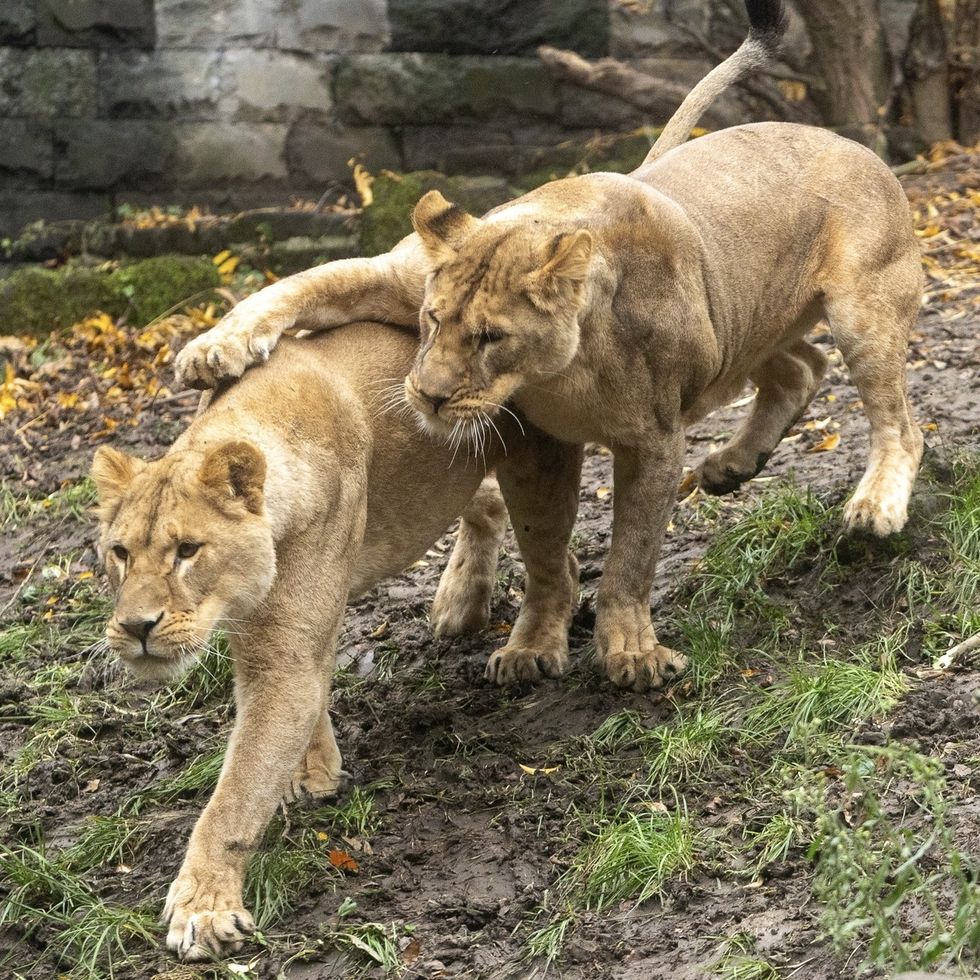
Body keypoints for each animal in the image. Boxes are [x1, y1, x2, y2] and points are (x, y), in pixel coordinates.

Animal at [88, 322, 580, 956]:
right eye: (120, 553)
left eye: (188, 550)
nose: (135, 627)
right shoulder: (272, 640)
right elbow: (307, 703)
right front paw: (315, 775)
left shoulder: (284, 660)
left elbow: (234, 796)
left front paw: (202, 909)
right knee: (488, 502)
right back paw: (460, 604)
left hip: (533, 460)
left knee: (556, 556)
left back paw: (531, 645)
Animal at [174, 0, 920, 696]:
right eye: (431, 320)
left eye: (491, 338)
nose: (427, 396)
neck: (554, 374)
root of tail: (846, 139)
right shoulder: (504, 403)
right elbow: (294, 288)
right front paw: (213, 351)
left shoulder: (652, 439)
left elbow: (630, 557)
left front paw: (630, 651)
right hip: (744, 325)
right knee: (801, 365)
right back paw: (730, 467)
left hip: (859, 308)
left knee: (896, 421)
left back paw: (874, 504)